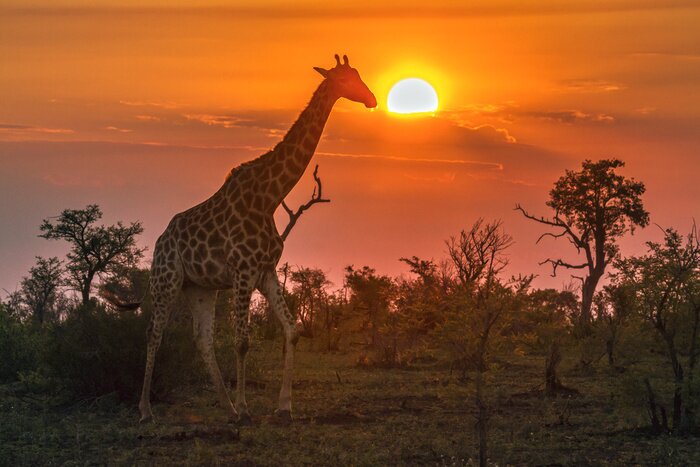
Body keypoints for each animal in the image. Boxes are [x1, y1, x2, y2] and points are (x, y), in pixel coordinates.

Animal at [134, 54, 376, 424]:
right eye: (346, 80)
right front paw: (248, 408)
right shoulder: (243, 271)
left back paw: (227, 407)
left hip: (200, 287)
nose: (372, 99)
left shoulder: (266, 271)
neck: (269, 197)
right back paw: (147, 410)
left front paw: (284, 406)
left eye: (359, 75)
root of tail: (161, 240)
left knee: (202, 339)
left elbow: (292, 330)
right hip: (167, 279)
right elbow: (243, 341)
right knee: (154, 333)